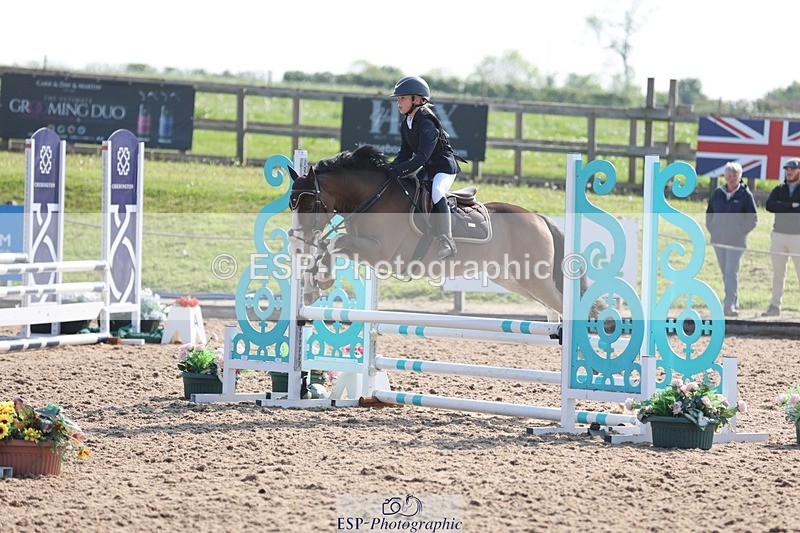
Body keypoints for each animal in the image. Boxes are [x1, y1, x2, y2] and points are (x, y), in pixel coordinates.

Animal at [287, 145, 573, 317]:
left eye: (310, 204)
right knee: (553, 310)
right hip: (513, 279)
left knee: (563, 307)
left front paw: (321, 280)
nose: (297, 246)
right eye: (291, 203)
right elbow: (326, 247)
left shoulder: (382, 254)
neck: (373, 197)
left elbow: (335, 242)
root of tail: (539, 218)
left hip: (535, 280)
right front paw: (312, 286)